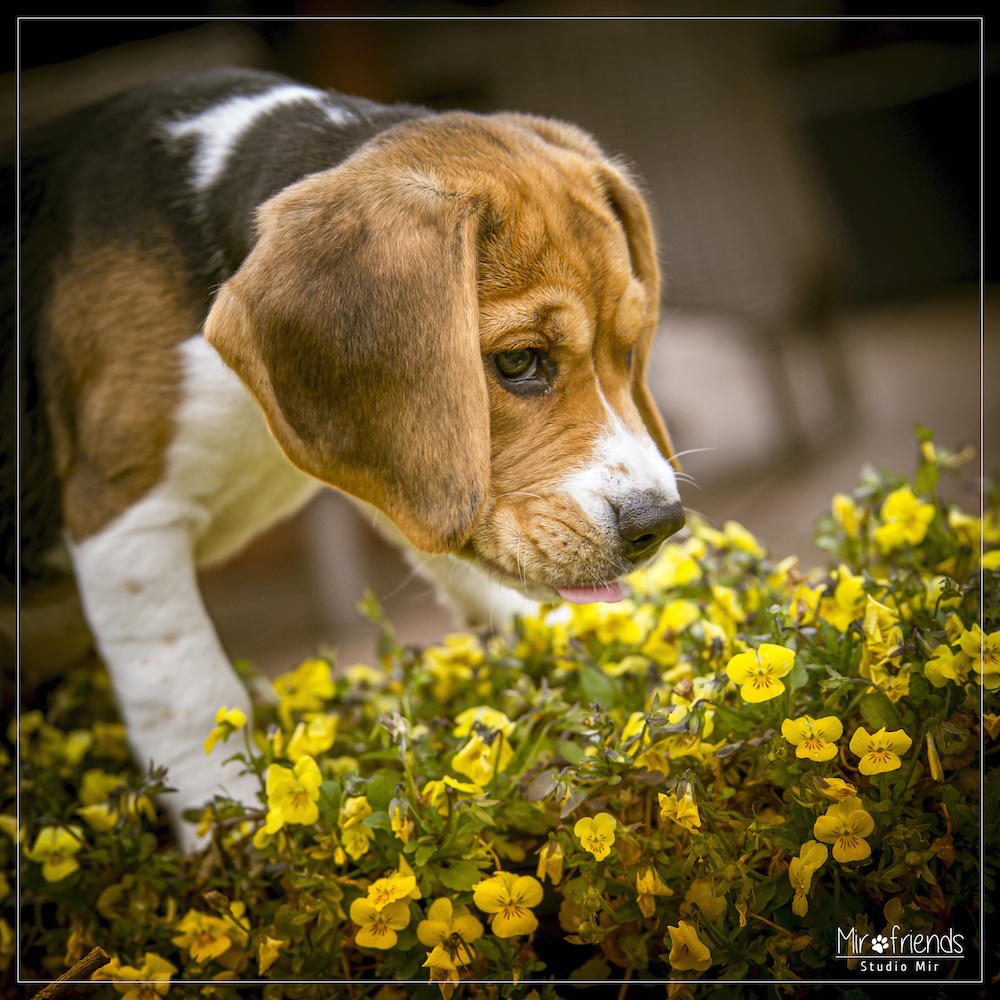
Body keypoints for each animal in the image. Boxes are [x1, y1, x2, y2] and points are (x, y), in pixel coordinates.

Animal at [3, 66, 684, 848]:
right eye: (519, 362)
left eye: (629, 352)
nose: (660, 525)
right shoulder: (122, 514)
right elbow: (189, 689)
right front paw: (233, 834)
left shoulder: (384, 463)